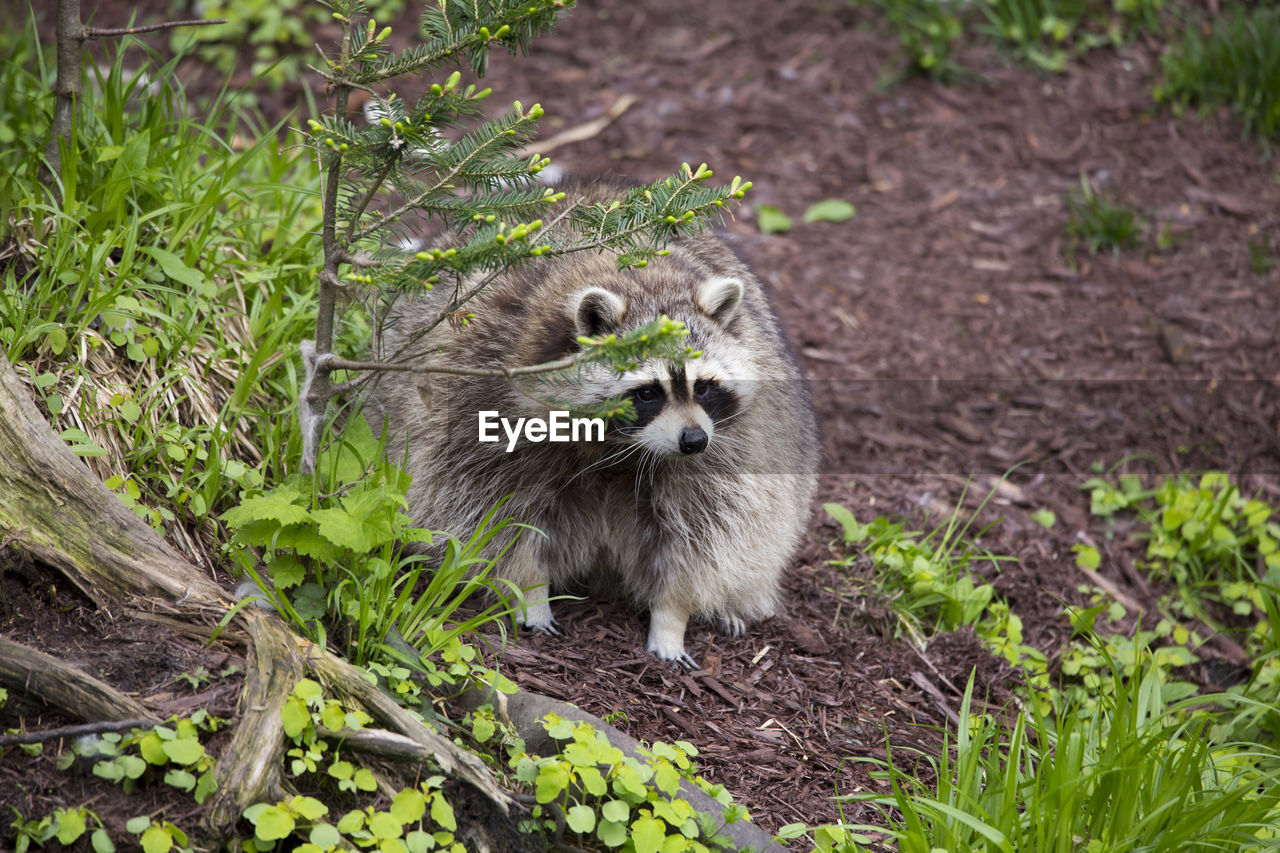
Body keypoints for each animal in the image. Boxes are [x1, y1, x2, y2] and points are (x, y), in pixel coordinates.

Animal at [366, 183, 814, 666]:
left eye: (706, 386)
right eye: (648, 392)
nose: (693, 441)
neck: (619, 446)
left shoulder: (731, 447)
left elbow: (707, 535)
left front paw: (673, 614)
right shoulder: (479, 399)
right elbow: (495, 514)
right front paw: (529, 591)